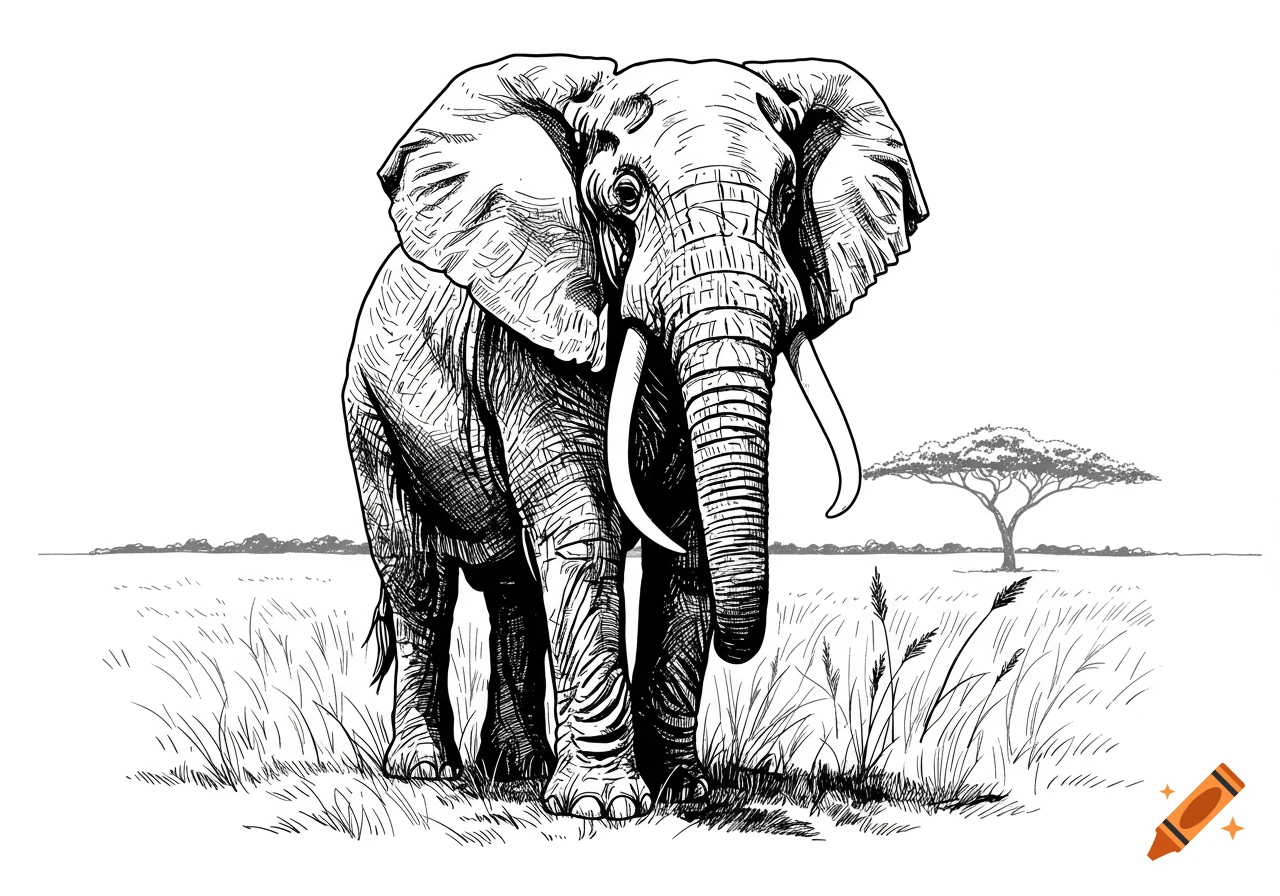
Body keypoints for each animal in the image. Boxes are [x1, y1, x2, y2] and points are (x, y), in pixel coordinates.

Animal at [343, 55, 926, 820]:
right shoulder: (532, 337)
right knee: (418, 580)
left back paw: (517, 768)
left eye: (787, 192)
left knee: (509, 581)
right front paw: (602, 807)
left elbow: (692, 549)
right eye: (624, 195)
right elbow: (582, 532)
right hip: (368, 413)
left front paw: (686, 791)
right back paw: (425, 770)